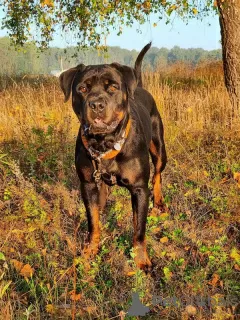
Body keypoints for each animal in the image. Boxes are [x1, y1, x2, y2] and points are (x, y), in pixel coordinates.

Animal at [59, 43, 166, 270]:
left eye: (113, 87)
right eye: (82, 89)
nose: (97, 104)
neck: (105, 142)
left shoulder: (139, 189)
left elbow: (139, 229)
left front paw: (141, 259)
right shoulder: (88, 184)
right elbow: (93, 222)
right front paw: (90, 251)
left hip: (160, 149)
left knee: (157, 175)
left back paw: (159, 202)